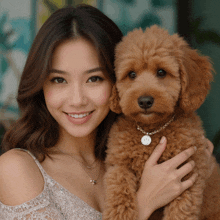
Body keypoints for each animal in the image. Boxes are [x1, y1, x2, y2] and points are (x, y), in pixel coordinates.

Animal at [102, 25, 220, 220]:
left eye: (161, 72)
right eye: (131, 74)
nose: (145, 101)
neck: (151, 131)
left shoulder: (187, 175)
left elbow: (180, 211)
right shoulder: (118, 164)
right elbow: (119, 188)